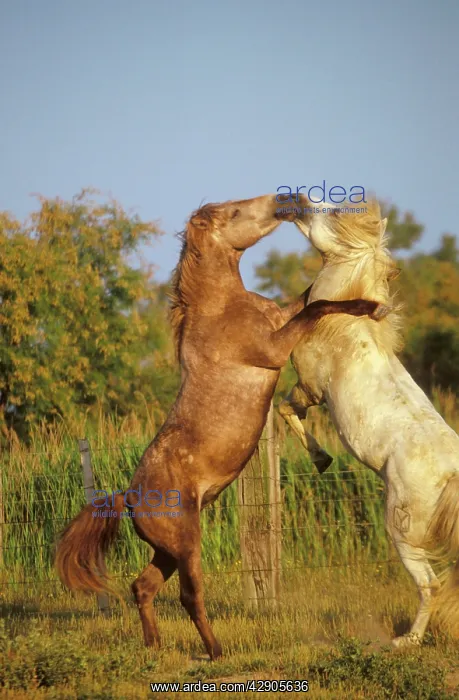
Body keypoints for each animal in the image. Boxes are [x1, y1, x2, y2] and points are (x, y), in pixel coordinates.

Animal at [55, 194, 388, 660]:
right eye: (233, 212)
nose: (288, 199)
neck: (222, 310)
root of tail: (128, 498)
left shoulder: (281, 317)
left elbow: (308, 297)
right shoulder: (274, 347)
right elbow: (317, 307)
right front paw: (371, 307)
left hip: (167, 552)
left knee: (142, 588)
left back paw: (155, 647)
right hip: (186, 547)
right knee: (189, 596)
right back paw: (215, 651)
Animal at [278, 197, 459, 648]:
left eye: (330, 213)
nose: (293, 200)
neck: (342, 322)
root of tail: (451, 473)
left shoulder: (309, 387)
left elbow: (286, 410)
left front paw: (321, 458)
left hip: (401, 529)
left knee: (429, 583)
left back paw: (406, 641)